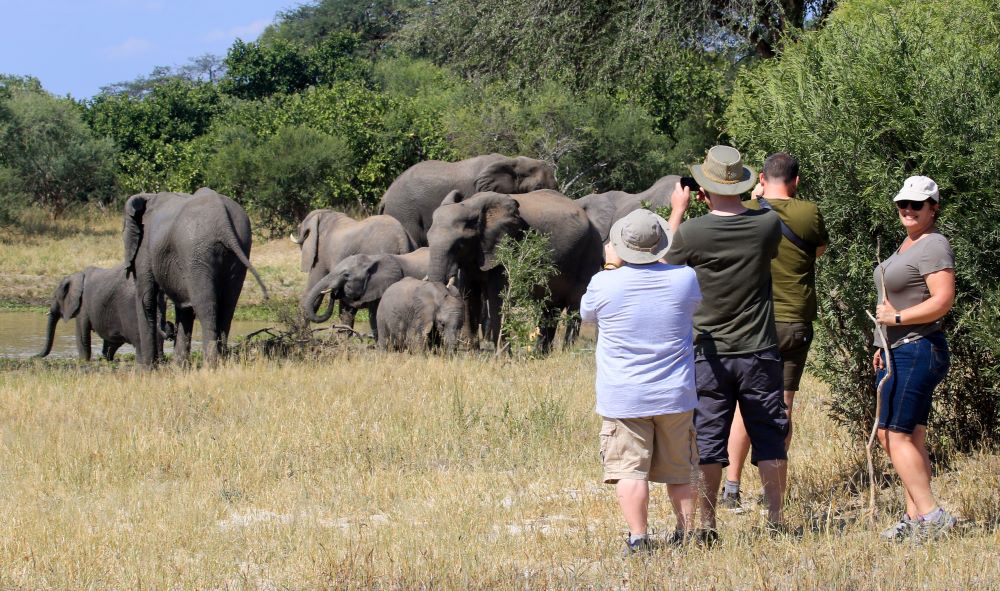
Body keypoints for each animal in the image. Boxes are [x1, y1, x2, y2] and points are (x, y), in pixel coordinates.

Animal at [35, 266, 174, 364]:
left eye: (54, 297)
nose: (34, 356)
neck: (76, 275)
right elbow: (112, 340)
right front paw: (106, 360)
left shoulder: (83, 307)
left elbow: (82, 336)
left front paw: (83, 361)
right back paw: (160, 361)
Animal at [122, 187, 268, 368]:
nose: (169, 329)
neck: (148, 196)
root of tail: (223, 221)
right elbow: (183, 307)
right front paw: (178, 368)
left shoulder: (145, 247)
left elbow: (146, 299)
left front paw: (146, 370)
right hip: (240, 246)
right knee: (227, 307)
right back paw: (221, 363)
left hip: (196, 251)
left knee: (205, 306)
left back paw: (210, 366)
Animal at [424, 190, 600, 352]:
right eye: (428, 240)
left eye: (459, 245)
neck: (472, 206)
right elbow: (470, 297)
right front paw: (471, 354)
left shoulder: (507, 247)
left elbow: (498, 299)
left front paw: (502, 356)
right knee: (550, 307)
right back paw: (541, 354)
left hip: (589, 253)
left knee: (575, 305)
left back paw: (566, 352)